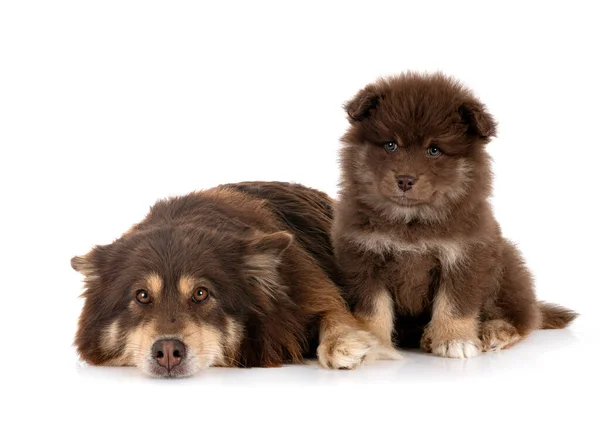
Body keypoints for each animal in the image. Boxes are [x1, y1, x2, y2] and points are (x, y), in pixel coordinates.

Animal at [71, 182, 398, 378]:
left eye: (201, 294)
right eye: (141, 296)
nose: (167, 353)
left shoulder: (309, 288)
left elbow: (334, 314)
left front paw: (343, 345)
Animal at [332, 72, 576, 358]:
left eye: (434, 150)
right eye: (391, 145)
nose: (405, 180)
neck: (412, 223)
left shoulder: (464, 256)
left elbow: (454, 304)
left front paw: (454, 338)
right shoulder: (363, 258)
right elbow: (373, 310)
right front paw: (375, 343)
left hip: (506, 266)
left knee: (523, 317)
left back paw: (494, 332)